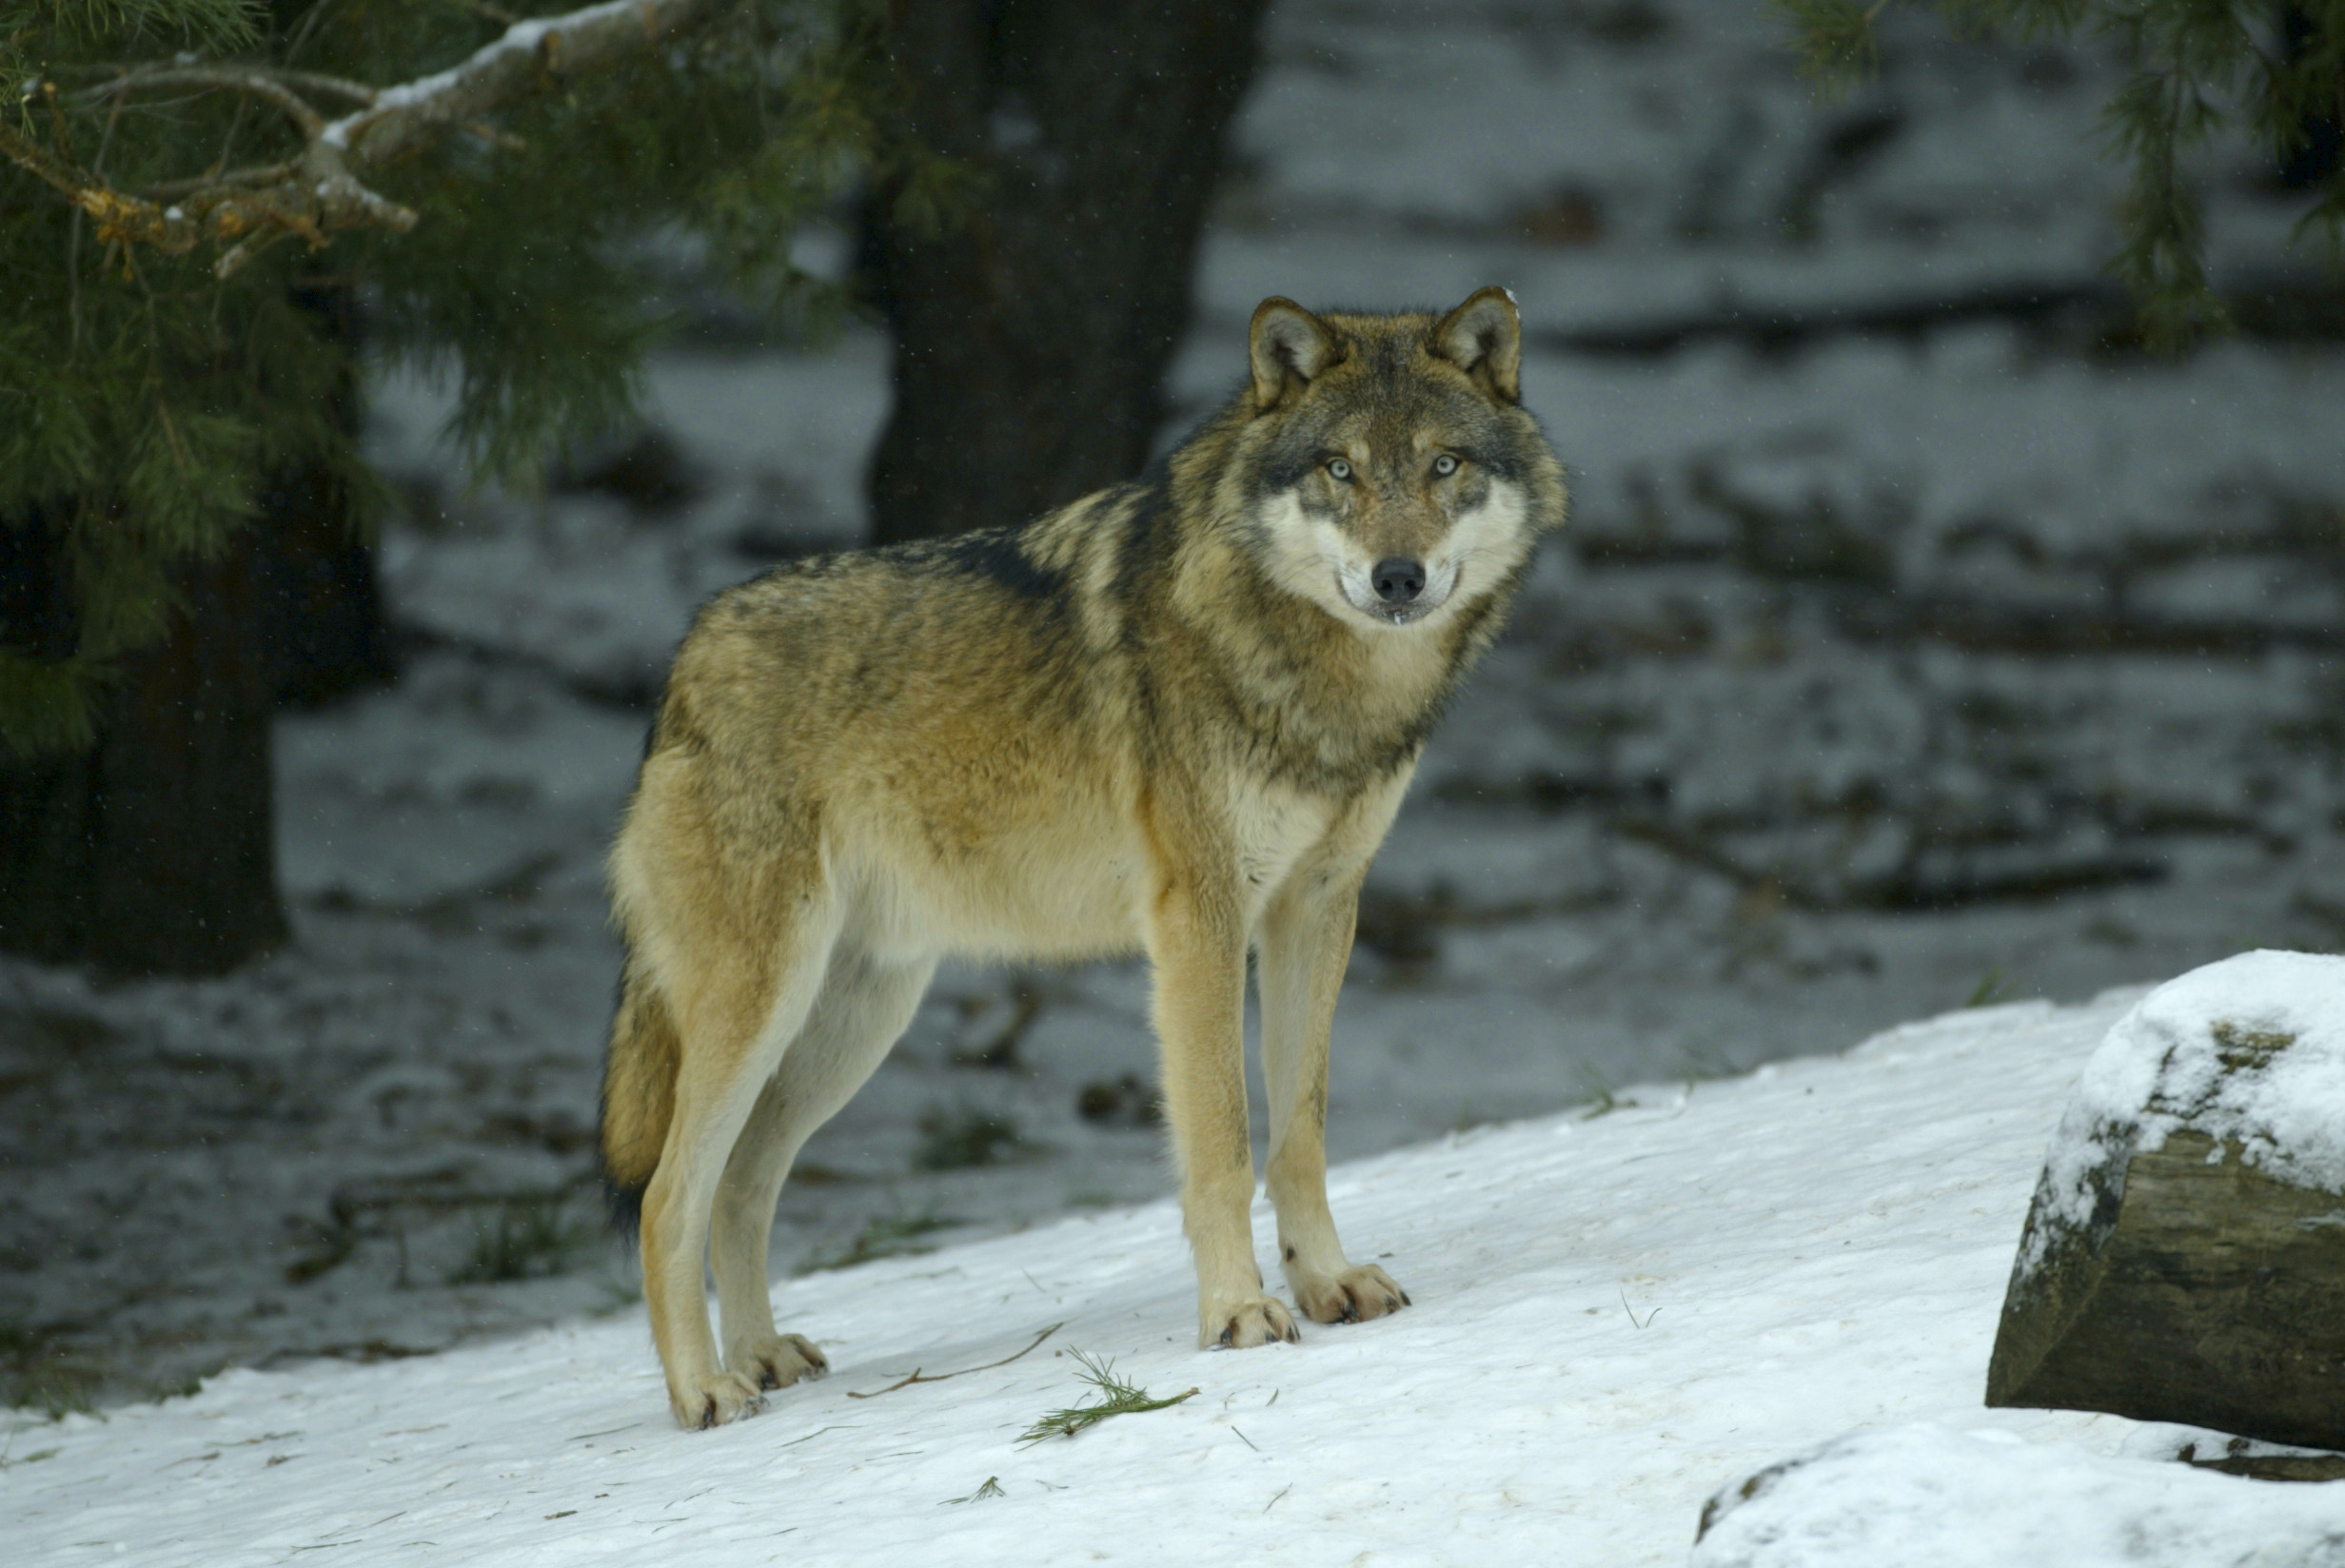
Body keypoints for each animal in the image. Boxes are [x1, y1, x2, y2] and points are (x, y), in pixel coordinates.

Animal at [598, 288, 1569, 1428]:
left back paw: (762, 1359)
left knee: (743, 1186)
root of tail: (682, 666)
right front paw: (1238, 1315)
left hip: (851, 1022)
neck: (1321, 681)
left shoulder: (1319, 907)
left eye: (1443, 465)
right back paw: (705, 1390)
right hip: (765, 1005)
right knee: (668, 1196)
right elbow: (1222, 1142)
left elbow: (1301, 1132)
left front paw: (1327, 1283)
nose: (1398, 577)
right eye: (1340, 469)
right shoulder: (1201, 919)